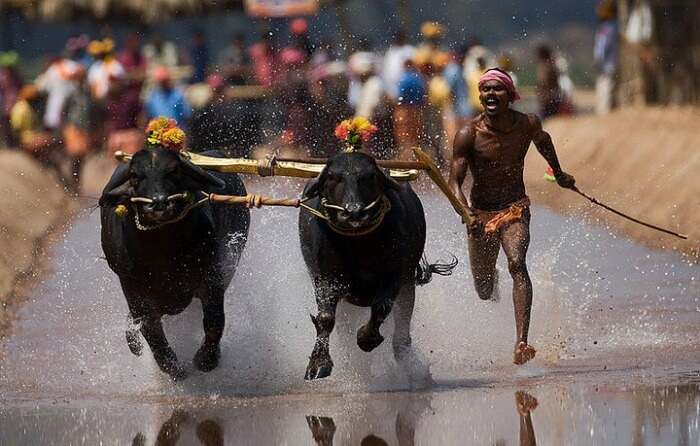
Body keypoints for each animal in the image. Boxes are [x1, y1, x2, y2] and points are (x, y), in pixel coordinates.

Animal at [98, 148, 250, 378]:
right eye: (134, 175)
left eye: (174, 170)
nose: (159, 202)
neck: (164, 252)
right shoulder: (135, 294)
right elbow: (152, 334)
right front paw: (172, 368)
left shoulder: (212, 278)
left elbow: (214, 320)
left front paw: (207, 359)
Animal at [298, 152, 456, 380]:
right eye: (333, 177)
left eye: (369, 176)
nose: (354, 212)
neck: (357, 245)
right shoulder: (325, 279)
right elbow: (325, 318)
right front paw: (319, 363)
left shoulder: (396, 276)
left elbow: (381, 308)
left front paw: (366, 338)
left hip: (408, 284)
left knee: (401, 331)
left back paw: (410, 365)